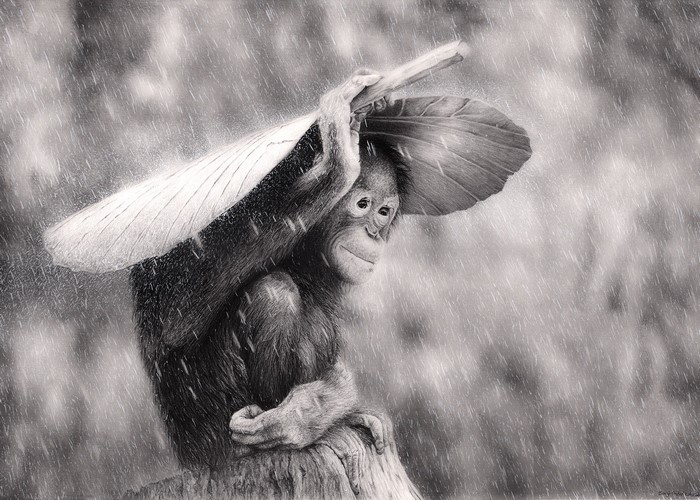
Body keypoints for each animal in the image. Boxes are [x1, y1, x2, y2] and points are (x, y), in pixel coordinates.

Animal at [130, 71, 404, 487]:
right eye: (363, 204)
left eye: (385, 211)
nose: (375, 232)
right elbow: (175, 314)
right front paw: (339, 157)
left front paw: (311, 411)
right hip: (209, 430)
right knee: (274, 293)